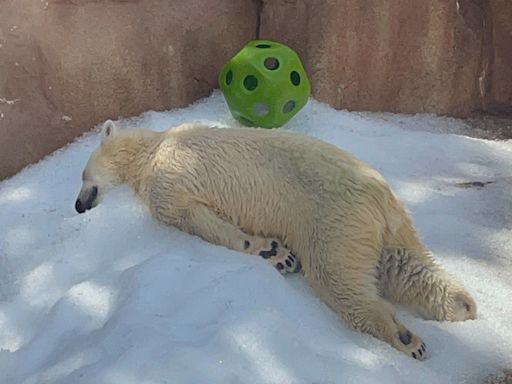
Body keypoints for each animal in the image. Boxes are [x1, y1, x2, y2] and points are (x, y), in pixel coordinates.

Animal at [75, 121, 476, 360]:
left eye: (81, 175)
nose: (78, 206)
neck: (153, 146)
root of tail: (380, 196)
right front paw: (276, 253)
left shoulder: (168, 176)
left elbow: (194, 218)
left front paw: (274, 252)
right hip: (383, 227)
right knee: (404, 266)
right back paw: (462, 305)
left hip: (333, 219)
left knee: (337, 279)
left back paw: (405, 338)